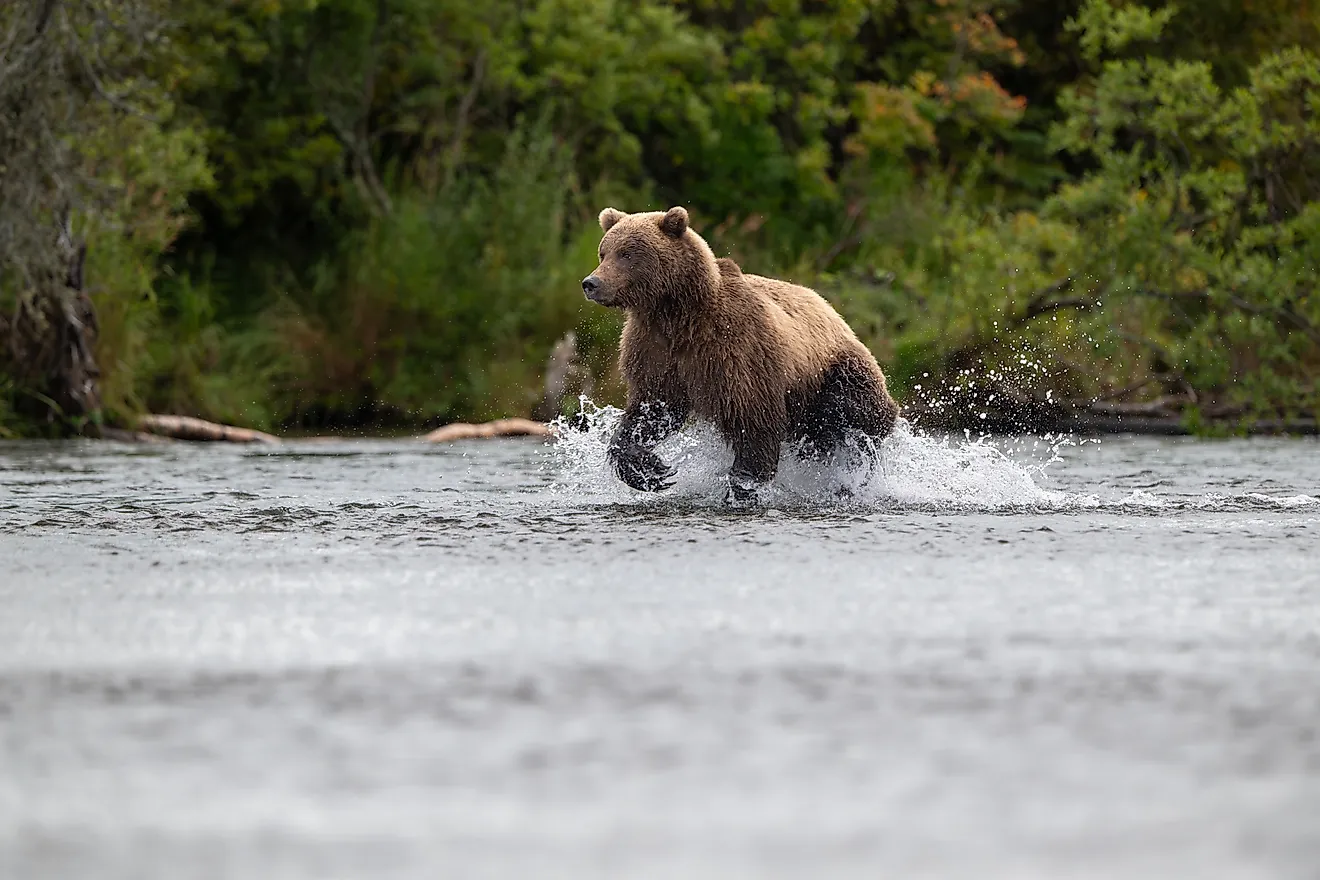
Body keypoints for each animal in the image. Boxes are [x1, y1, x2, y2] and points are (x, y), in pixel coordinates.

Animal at [582, 206, 899, 504]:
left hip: (833, 372)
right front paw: (649, 469)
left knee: (857, 420)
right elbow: (651, 409)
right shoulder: (654, 351)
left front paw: (742, 487)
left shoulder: (735, 351)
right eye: (603, 252)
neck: (676, 314)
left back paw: (853, 472)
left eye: (626, 253)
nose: (591, 283)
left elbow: (753, 422)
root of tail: (834, 312)